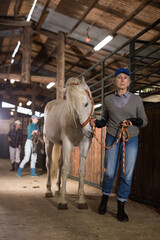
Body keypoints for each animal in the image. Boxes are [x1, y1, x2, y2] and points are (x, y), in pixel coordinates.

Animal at [43, 77, 94, 210]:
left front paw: (81, 200)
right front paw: (62, 201)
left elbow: (82, 171)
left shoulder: (84, 145)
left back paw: (58, 188)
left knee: (59, 163)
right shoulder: (67, 143)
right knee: (49, 163)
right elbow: (66, 169)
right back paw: (49, 190)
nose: (88, 132)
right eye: (72, 108)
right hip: (48, 142)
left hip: (60, 145)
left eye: (86, 103)